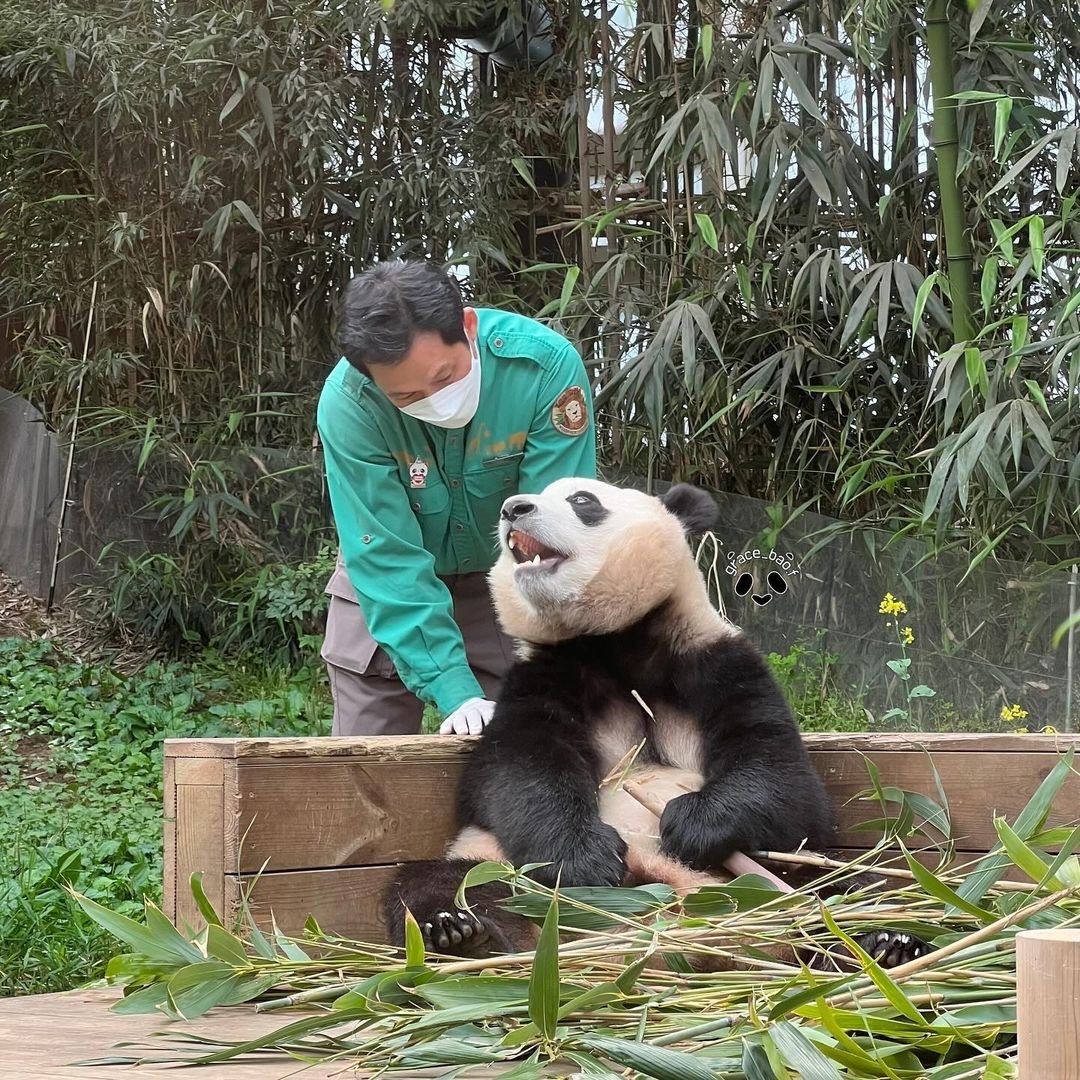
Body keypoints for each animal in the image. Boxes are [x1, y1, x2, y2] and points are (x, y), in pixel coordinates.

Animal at [382, 477, 928, 967]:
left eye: (582, 501)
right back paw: (462, 936)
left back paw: (887, 942)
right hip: (494, 860)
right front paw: (587, 857)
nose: (512, 508)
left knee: (851, 887)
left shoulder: (716, 661)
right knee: (442, 885)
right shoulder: (542, 676)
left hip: (777, 870)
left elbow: (786, 781)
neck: (611, 640)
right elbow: (516, 772)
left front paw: (691, 823)